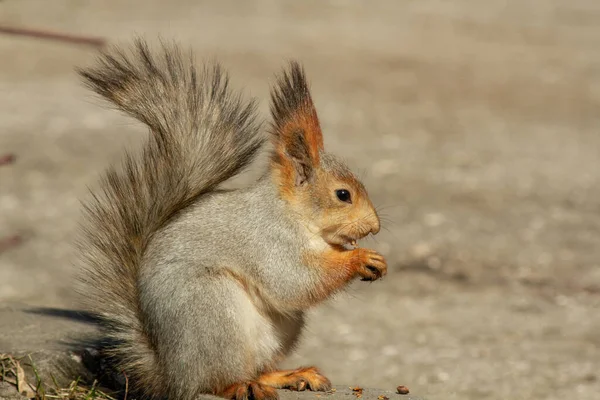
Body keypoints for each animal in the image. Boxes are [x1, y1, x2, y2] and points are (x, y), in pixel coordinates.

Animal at [77, 39, 386, 400]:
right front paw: (360, 258)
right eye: (343, 195)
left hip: (279, 329)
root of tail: (173, 375)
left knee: (256, 368)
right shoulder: (268, 240)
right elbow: (294, 281)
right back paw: (241, 385)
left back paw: (288, 376)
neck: (290, 212)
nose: (375, 226)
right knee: (217, 380)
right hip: (215, 311)